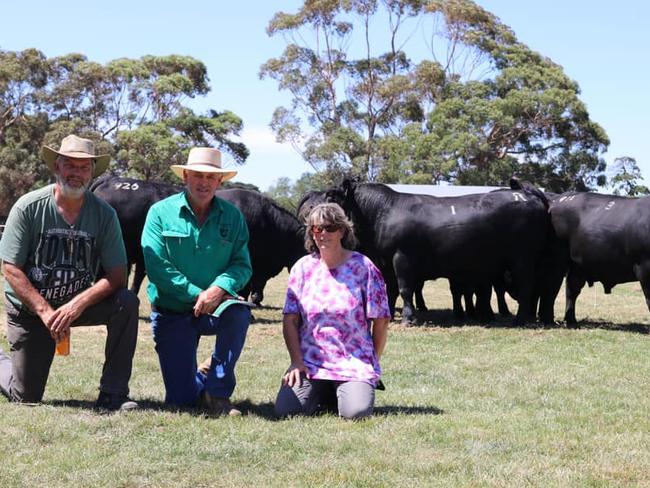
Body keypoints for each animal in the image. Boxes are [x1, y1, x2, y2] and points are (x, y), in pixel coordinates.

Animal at [322, 179, 548, 324]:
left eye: (331, 195)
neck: (384, 212)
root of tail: (526, 195)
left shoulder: (402, 258)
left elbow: (405, 289)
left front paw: (408, 318)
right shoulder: (386, 262)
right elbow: (390, 290)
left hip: (522, 258)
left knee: (526, 285)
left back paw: (519, 319)